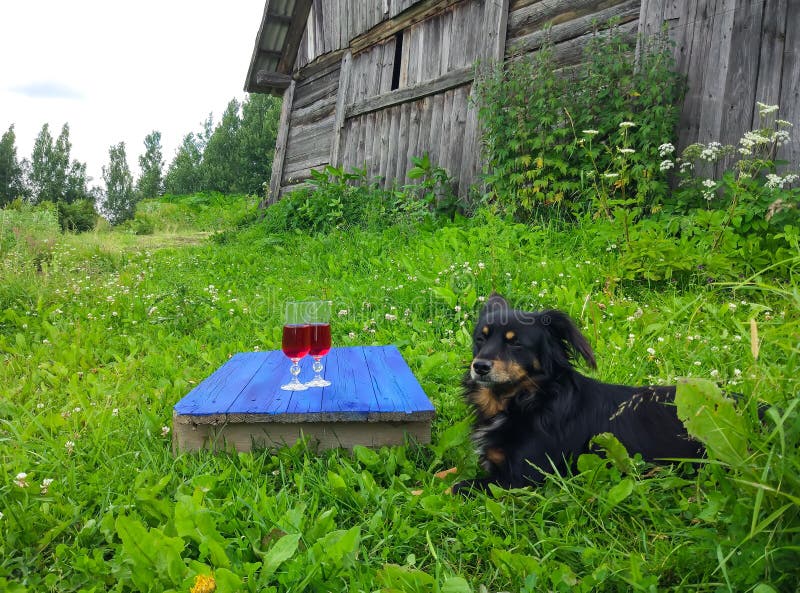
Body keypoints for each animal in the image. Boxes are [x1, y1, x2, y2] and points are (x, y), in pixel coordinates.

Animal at [454, 294, 704, 492]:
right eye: (480, 339)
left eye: (515, 343)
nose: (479, 366)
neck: (527, 400)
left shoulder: (519, 477)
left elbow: (456, 486)